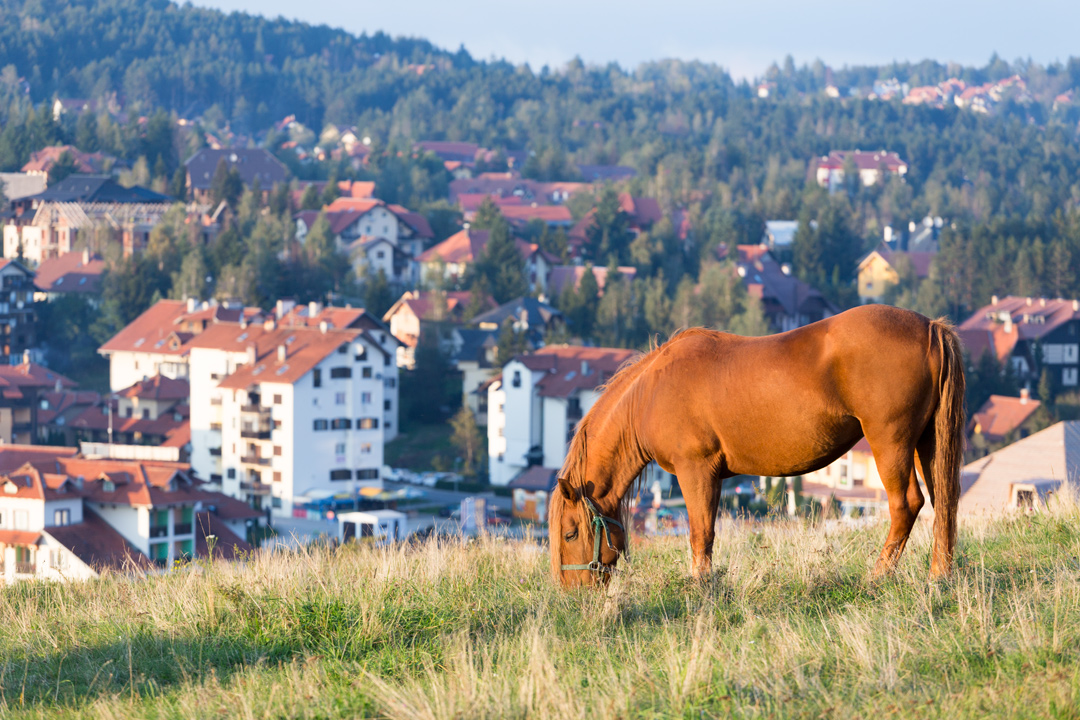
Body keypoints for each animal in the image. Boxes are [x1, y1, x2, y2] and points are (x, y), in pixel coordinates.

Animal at [552, 304, 967, 587]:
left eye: (570, 533)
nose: (575, 593)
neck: (651, 392)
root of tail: (930, 328)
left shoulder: (695, 470)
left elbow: (700, 534)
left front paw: (700, 588)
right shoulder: (712, 476)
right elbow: (706, 533)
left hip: (890, 443)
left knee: (906, 505)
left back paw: (878, 575)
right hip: (926, 443)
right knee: (944, 504)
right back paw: (939, 577)